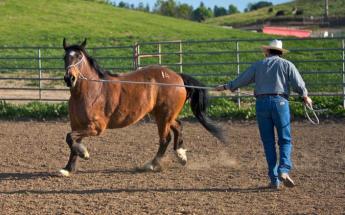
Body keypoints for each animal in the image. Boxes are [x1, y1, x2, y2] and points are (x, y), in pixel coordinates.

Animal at [58, 38, 223, 176]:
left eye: (79, 57)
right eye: (65, 57)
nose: (69, 78)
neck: (91, 91)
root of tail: (178, 77)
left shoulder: (96, 127)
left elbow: (70, 138)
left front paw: (84, 153)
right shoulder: (77, 125)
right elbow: (72, 142)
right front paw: (68, 169)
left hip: (163, 117)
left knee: (165, 139)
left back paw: (153, 164)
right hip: (163, 115)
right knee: (178, 126)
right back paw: (181, 155)